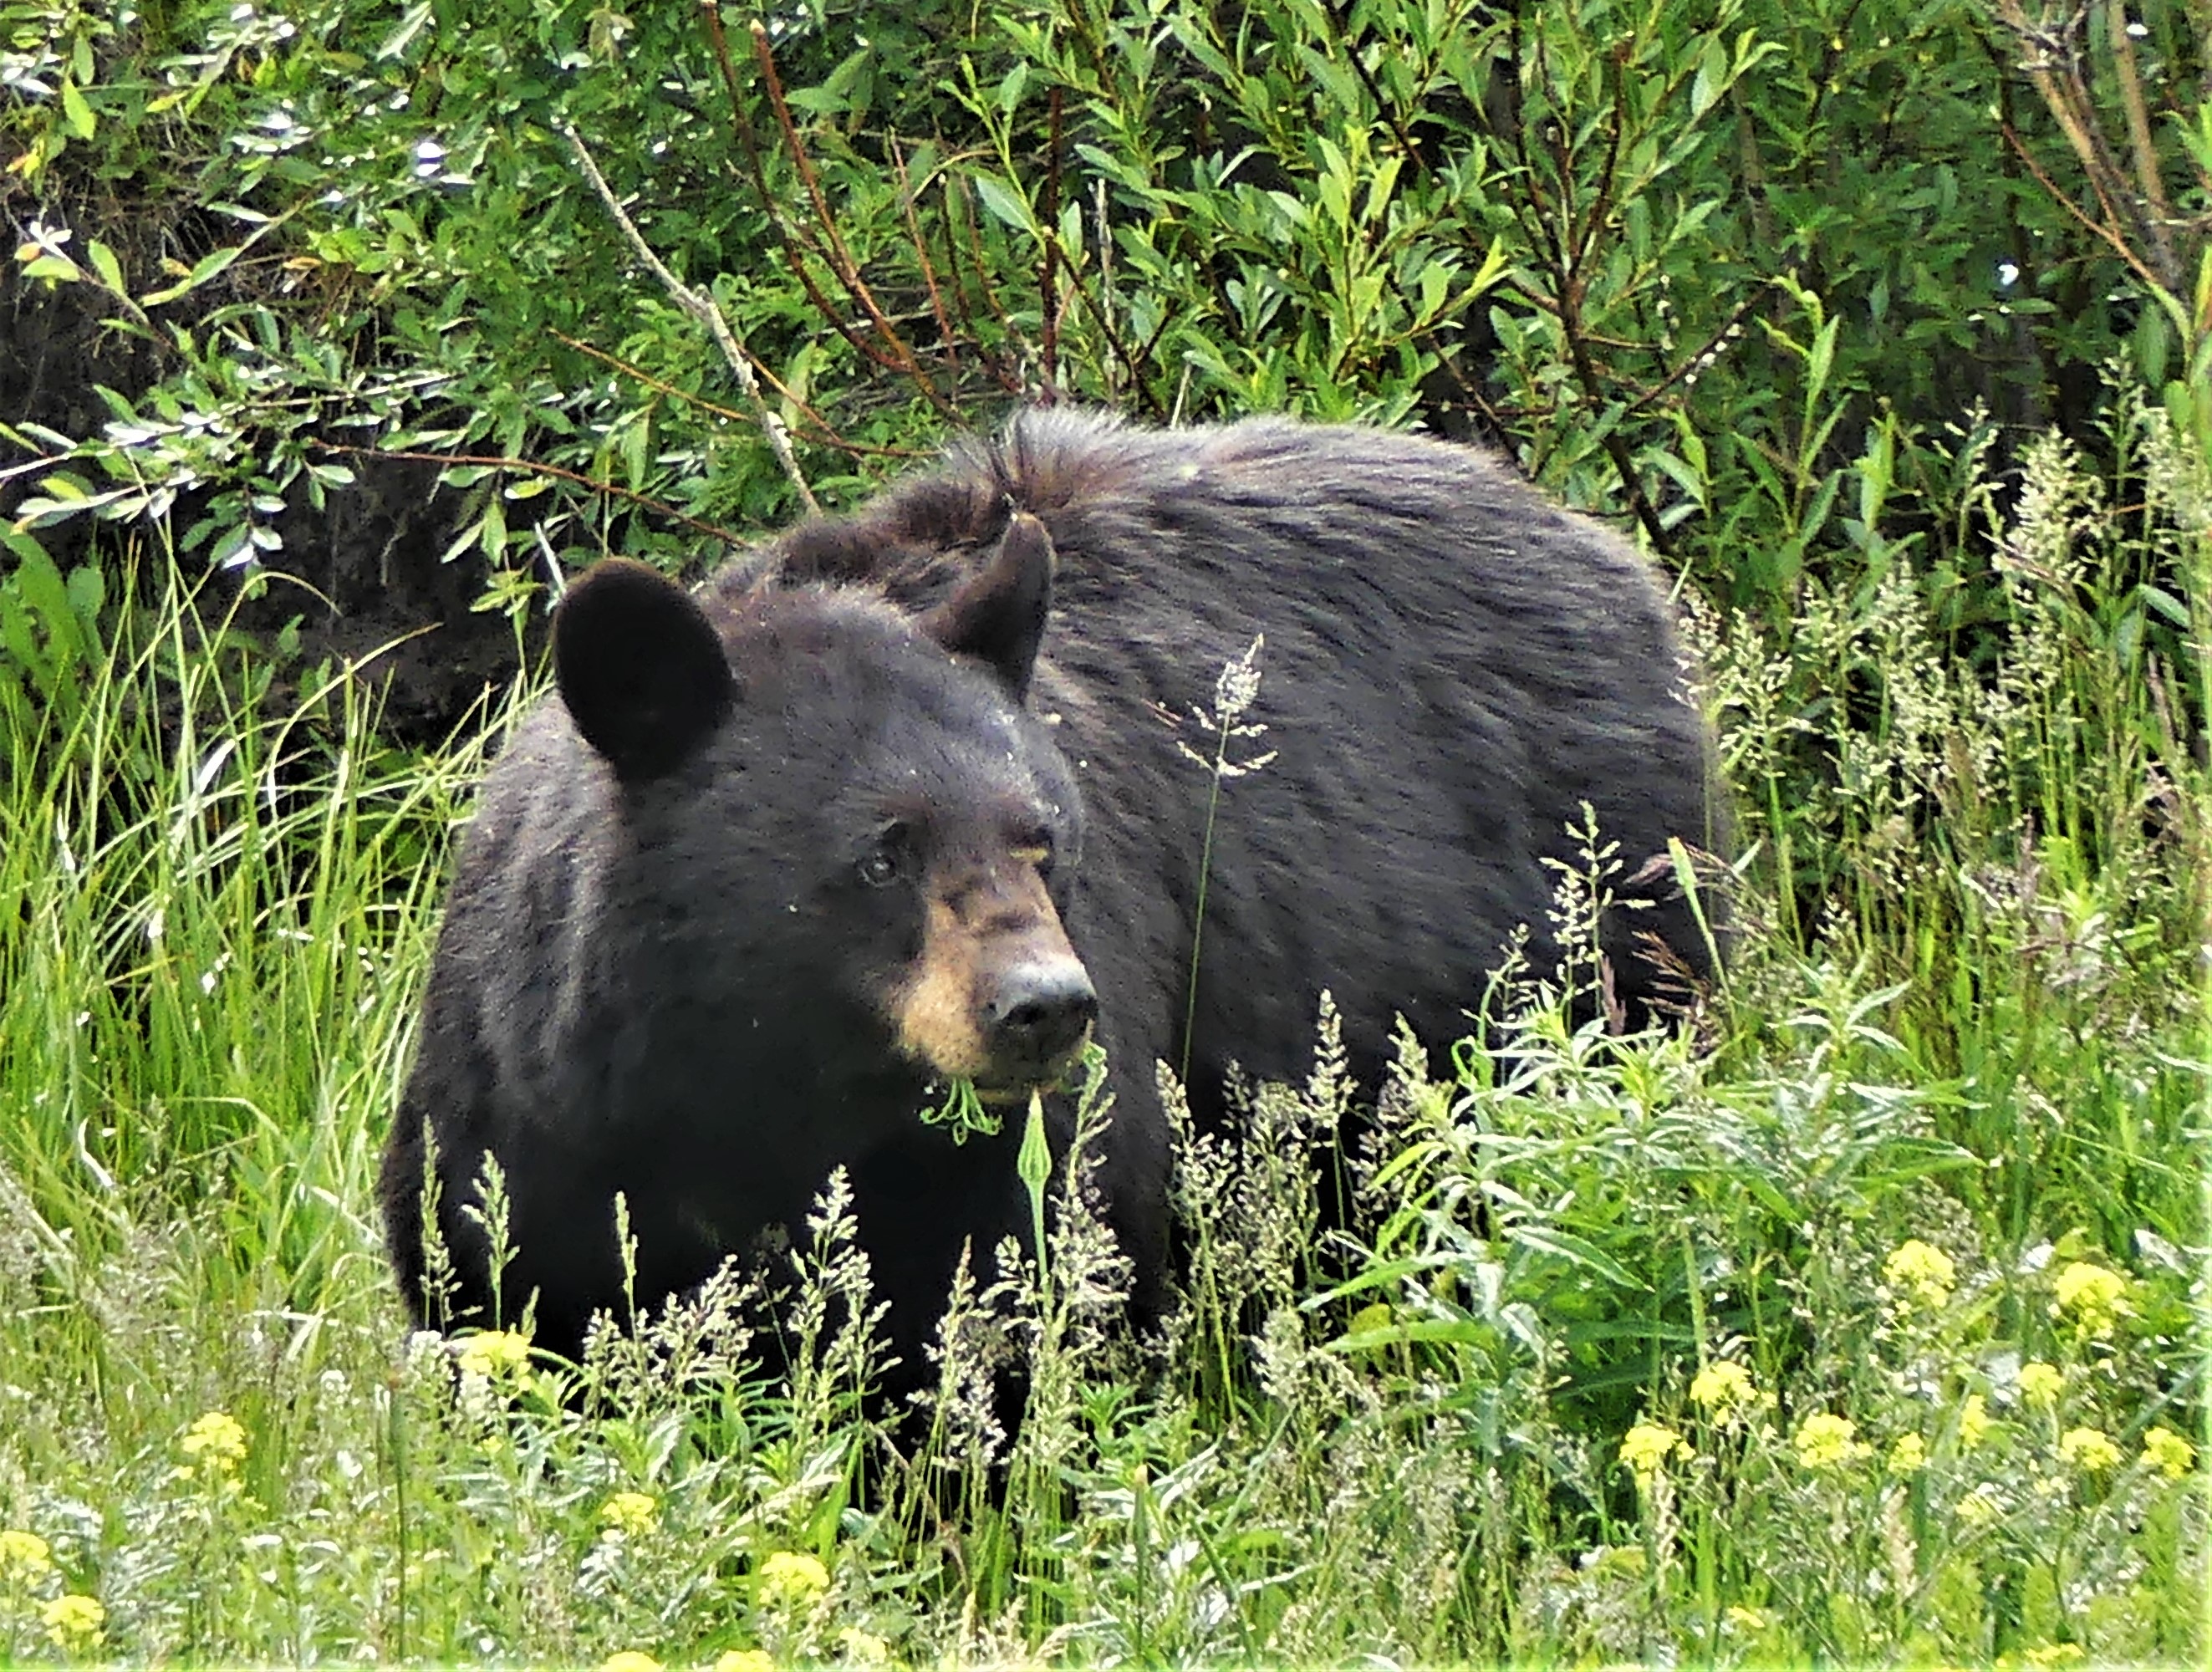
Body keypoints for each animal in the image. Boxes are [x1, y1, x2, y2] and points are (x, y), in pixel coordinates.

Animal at [379, 408, 1726, 1379]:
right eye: (883, 851)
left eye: (1042, 838)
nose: (1043, 1007)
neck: (765, 1090)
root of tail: (1599, 545)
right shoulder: (533, 1110)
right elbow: (512, 1300)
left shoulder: (999, 1156)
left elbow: (1015, 1317)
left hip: (1598, 938)